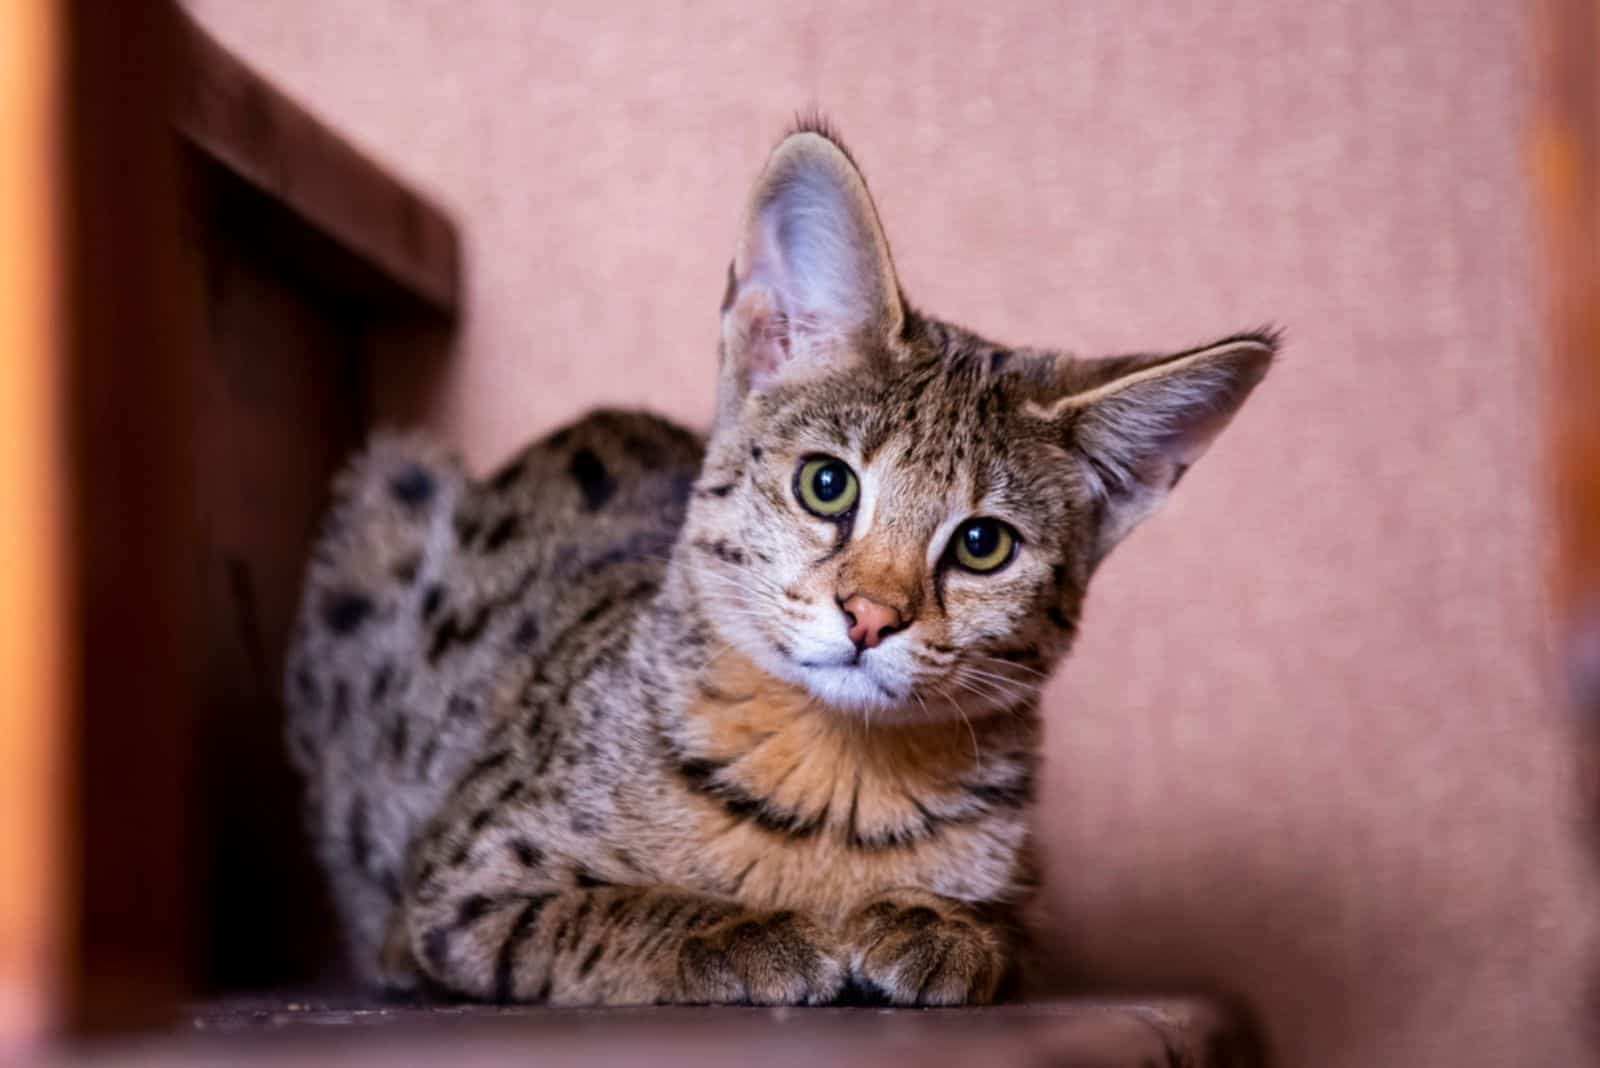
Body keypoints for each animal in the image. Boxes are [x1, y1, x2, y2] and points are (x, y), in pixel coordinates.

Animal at [278, 120, 1273, 1004]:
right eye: (827, 485)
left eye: (983, 544)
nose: (871, 616)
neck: (840, 777)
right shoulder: (452, 893)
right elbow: (603, 912)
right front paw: (745, 931)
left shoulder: (1032, 909)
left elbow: (1000, 928)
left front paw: (940, 923)